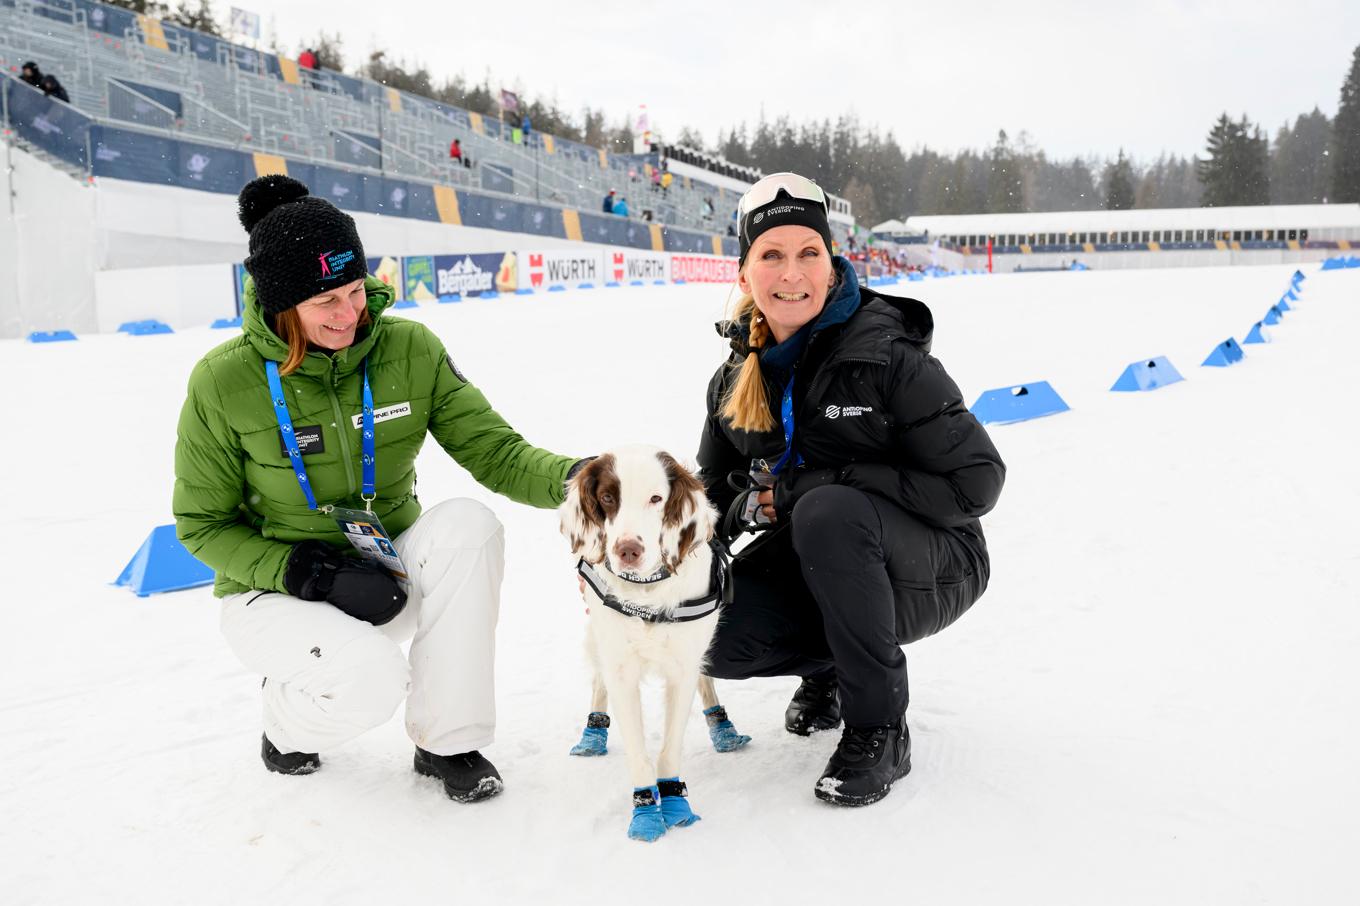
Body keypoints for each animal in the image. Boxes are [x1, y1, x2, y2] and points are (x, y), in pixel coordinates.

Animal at [563, 443, 756, 837]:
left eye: (656, 498)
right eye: (607, 497)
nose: (628, 550)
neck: (647, 592)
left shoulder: (682, 667)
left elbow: (669, 749)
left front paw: (675, 803)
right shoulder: (621, 667)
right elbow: (639, 753)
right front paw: (646, 814)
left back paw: (724, 730)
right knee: (599, 681)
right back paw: (592, 736)